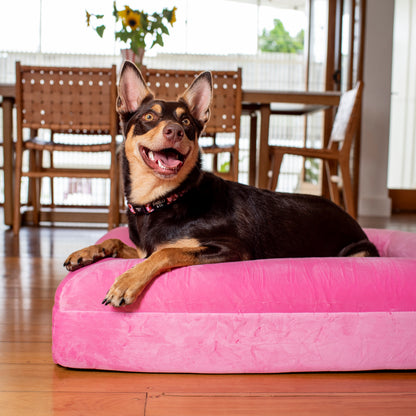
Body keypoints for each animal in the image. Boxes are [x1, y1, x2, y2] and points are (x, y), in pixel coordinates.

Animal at [63, 60, 378, 308]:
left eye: (187, 122)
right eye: (149, 117)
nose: (175, 131)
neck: (164, 200)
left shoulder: (232, 248)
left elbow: (167, 251)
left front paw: (126, 281)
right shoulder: (142, 248)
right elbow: (118, 241)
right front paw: (86, 252)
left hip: (360, 251)